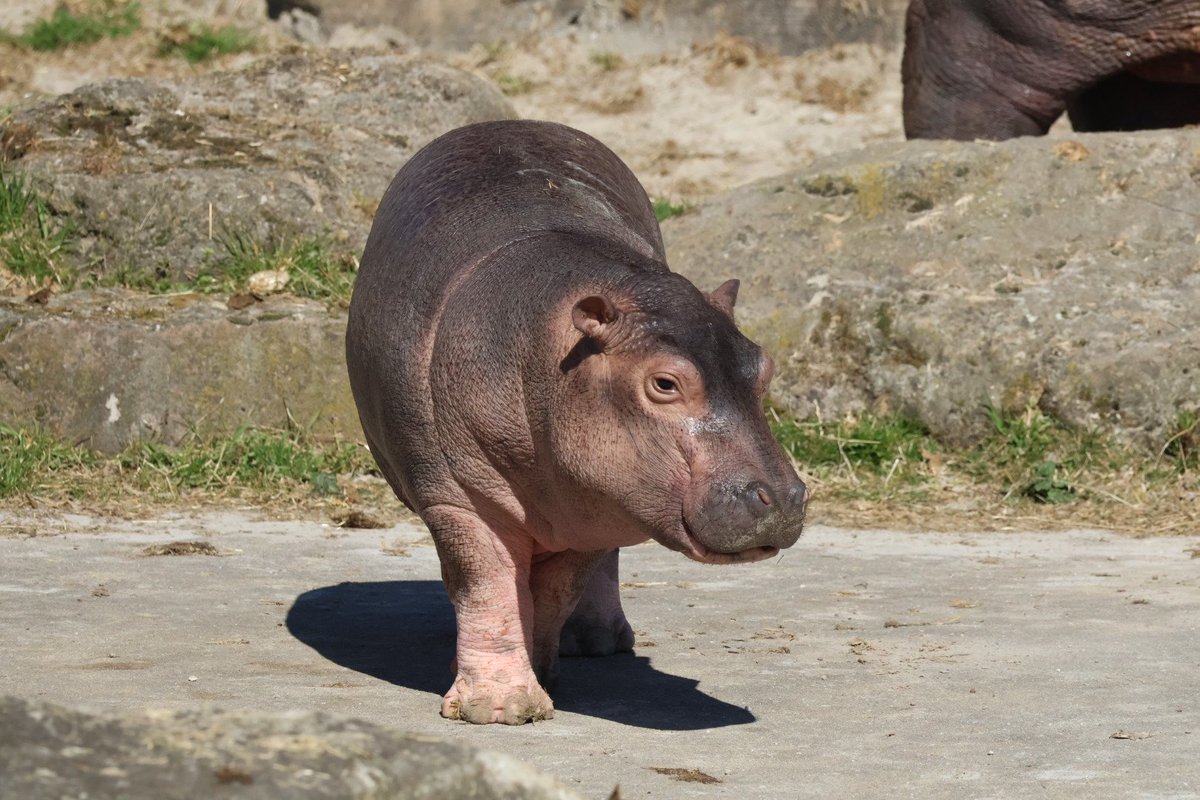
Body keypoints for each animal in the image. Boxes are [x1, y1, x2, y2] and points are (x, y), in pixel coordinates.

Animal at [345, 120, 807, 724]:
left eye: (763, 364)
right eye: (664, 383)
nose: (786, 497)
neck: (545, 345)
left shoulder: (598, 500)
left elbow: (554, 591)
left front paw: (540, 677)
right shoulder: (455, 497)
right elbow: (485, 584)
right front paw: (498, 708)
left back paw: (598, 642)